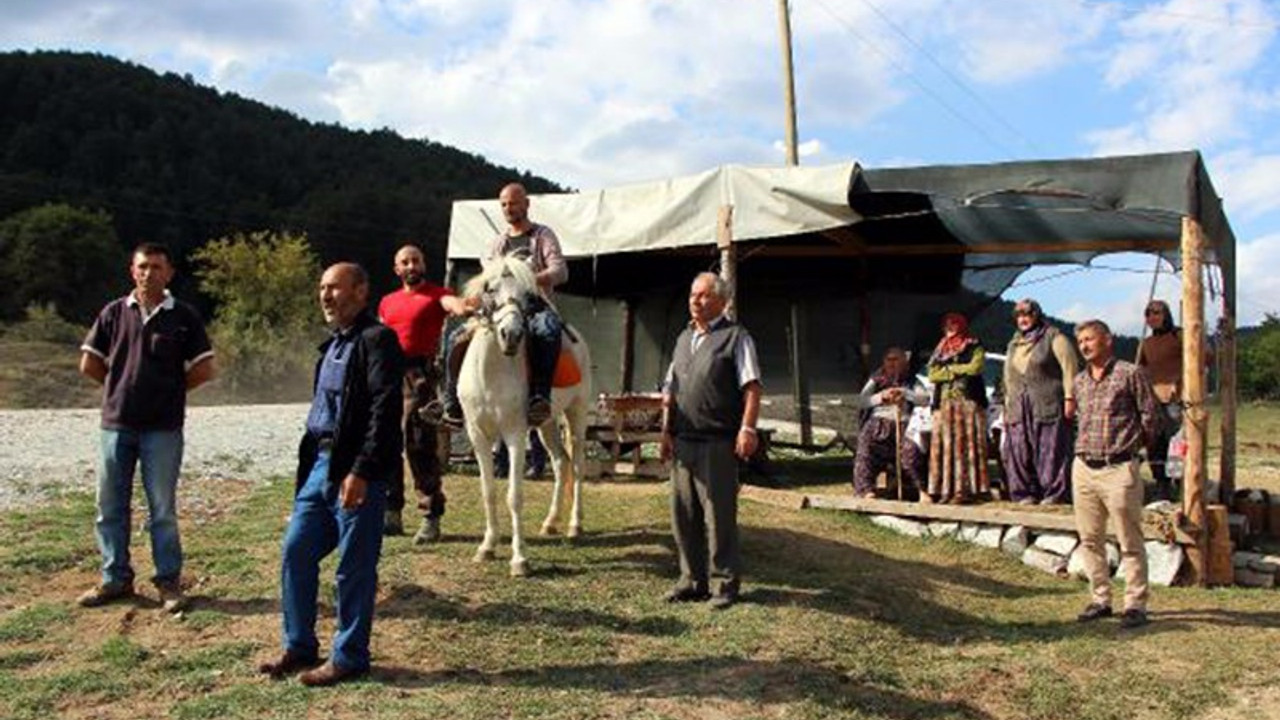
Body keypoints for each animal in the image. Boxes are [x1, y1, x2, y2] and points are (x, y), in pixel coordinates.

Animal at [458, 254, 591, 573]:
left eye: (528, 296)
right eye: (490, 289)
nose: (511, 335)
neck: (491, 372)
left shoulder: (515, 435)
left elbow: (514, 496)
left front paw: (519, 559)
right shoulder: (478, 435)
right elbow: (489, 491)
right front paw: (487, 547)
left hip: (577, 415)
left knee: (578, 466)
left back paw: (574, 525)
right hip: (546, 424)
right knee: (561, 463)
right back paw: (550, 523)